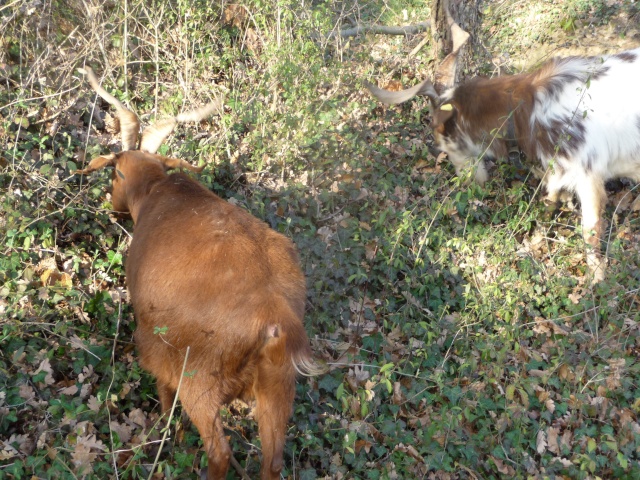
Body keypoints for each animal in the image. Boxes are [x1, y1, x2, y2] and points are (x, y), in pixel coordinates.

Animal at [77, 66, 322, 480]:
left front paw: (161, 430)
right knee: (272, 460)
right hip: (277, 387)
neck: (158, 191)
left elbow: (162, 393)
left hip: (200, 382)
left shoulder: (159, 350)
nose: (114, 210)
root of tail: (274, 319)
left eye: (115, 172)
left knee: (219, 452)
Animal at [368, 47, 640, 284]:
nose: (465, 179)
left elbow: (590, 231)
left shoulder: (587, 172)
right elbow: (550, 200)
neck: (526, 109)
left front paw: (596, 280)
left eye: (443, 134)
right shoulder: (560, 171)